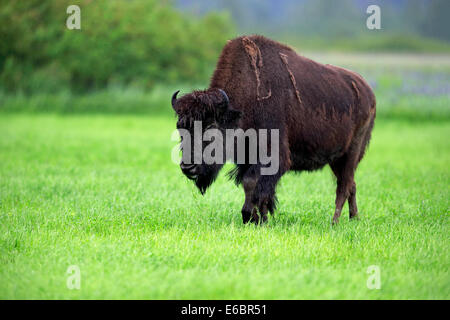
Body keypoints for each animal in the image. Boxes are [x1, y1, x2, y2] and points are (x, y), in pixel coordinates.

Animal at [172, 35, 376, 224]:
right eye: (180, 127)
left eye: (211, 127)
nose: (188, 167)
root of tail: (368, 91)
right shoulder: (247, 157)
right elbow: (251, 186)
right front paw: (256, 218)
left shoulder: (273, 155)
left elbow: (254, 184)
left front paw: (254, 217)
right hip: (337, 159)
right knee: (351, 184)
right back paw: (354, 218)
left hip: (351, 153)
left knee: (343, 186)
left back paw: (334, 222)